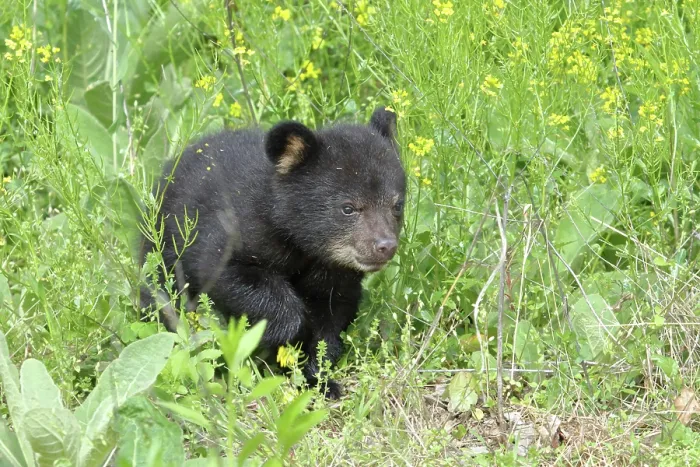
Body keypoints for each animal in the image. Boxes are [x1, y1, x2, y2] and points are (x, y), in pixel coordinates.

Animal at [140, 107, 406, 398]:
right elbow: (227, 275)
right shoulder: (233, 233)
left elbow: (330, 319)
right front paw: (276, 340)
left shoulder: (337, 275)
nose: (385, 245)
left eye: (397, 205)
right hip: (161, 248)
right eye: (348, 207)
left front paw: (318, 379)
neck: (303, 244)